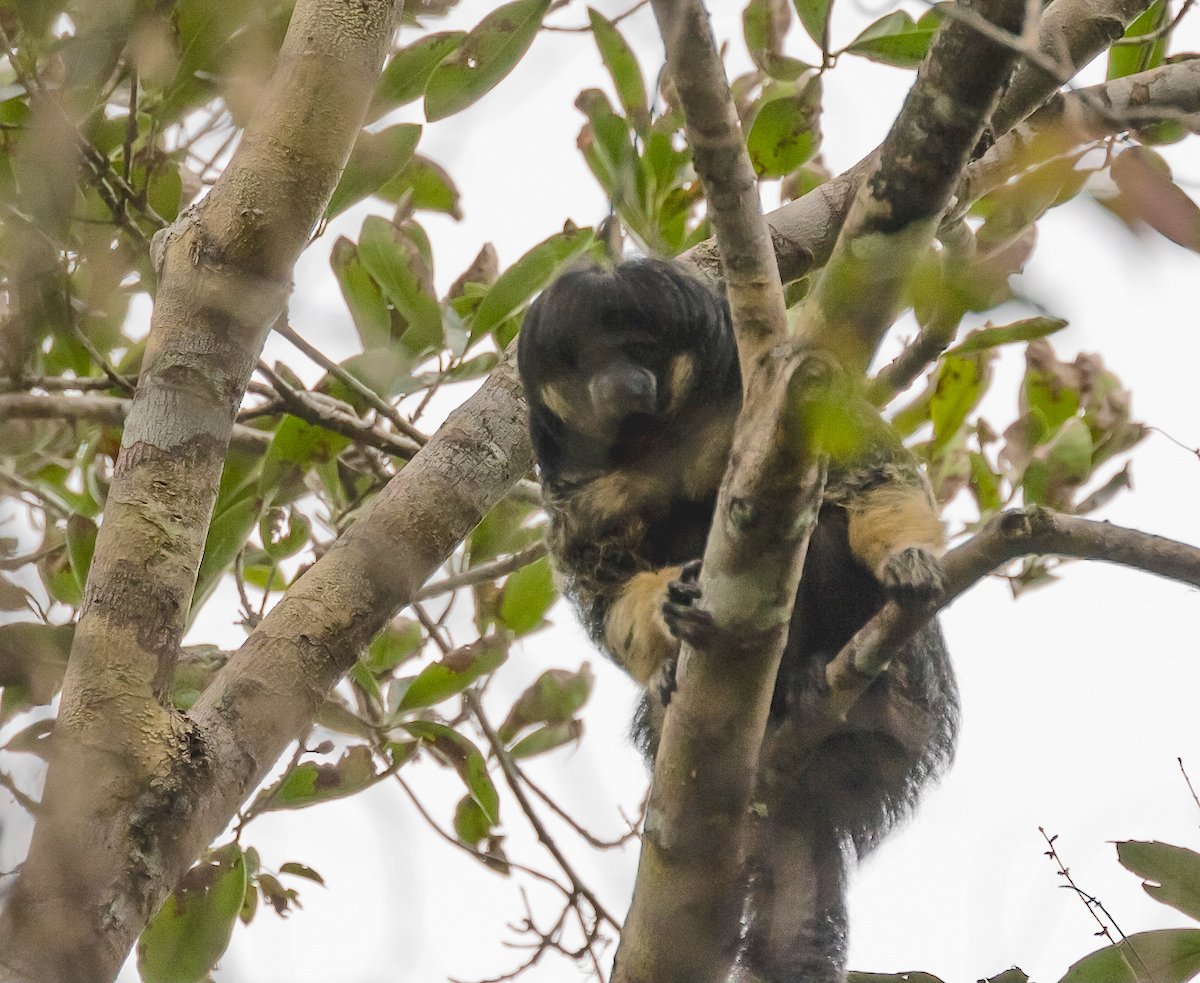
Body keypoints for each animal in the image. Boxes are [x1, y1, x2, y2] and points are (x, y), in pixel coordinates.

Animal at [517, 258, 958, 983]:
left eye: (639, 350)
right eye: (587, 363)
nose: (621, 383)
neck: (658, 438)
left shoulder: (797, 406)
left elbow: (875, 477)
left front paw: (907, 559)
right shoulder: (578, 494)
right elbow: (605, 592)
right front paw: (667, 620)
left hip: (907, 717)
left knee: (822, 532)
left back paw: (818, 674)